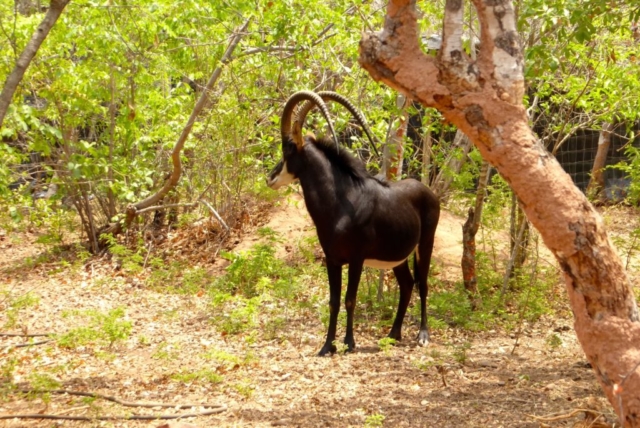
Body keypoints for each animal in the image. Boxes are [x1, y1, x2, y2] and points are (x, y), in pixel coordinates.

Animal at [266, 90, 440, 354]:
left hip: (425, 245)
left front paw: (349, 342)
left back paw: (422, 335)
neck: (342, 202)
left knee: (424, 285)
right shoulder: (332, 259)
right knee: (407, 283)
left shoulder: (357, 259)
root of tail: (429, 193)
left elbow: (350, 299)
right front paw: (327, 346)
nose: (271, 178)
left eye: (288, 149)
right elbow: (333, 301)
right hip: (397, 256)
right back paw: (393, 334)